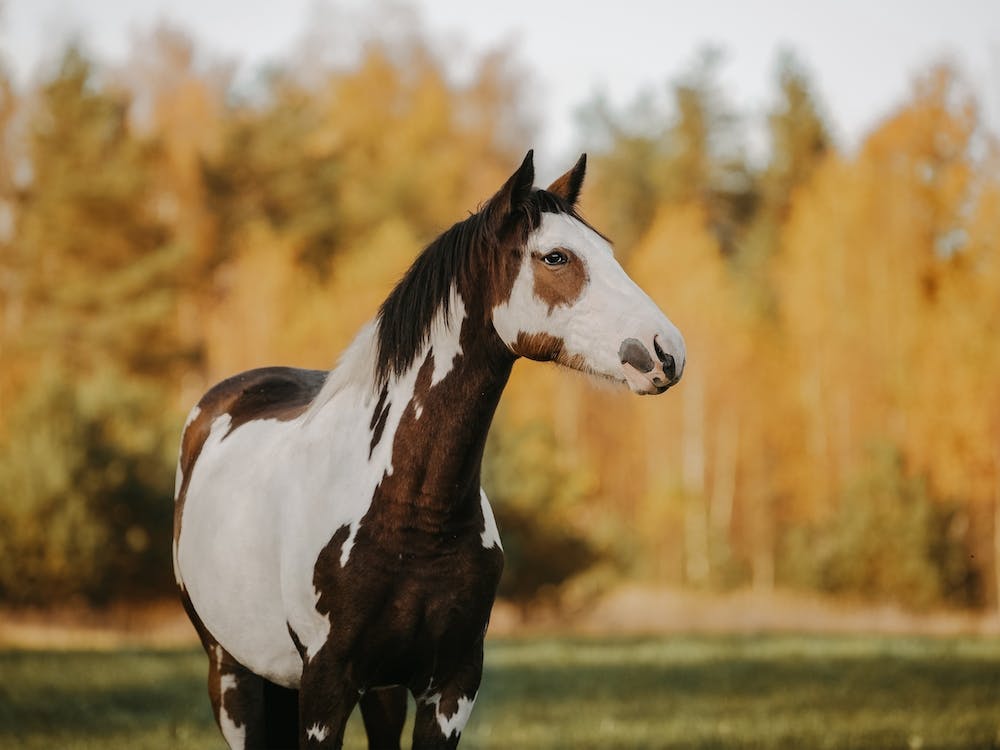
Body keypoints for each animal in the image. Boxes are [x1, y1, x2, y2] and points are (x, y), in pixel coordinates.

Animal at [173, 151, 685, 749]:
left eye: (607, 250)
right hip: (230, 674)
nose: (666, 351)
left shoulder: (451, 686)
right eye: (555, 256)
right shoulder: (325, 688)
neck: (411, 508)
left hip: (377, 690)